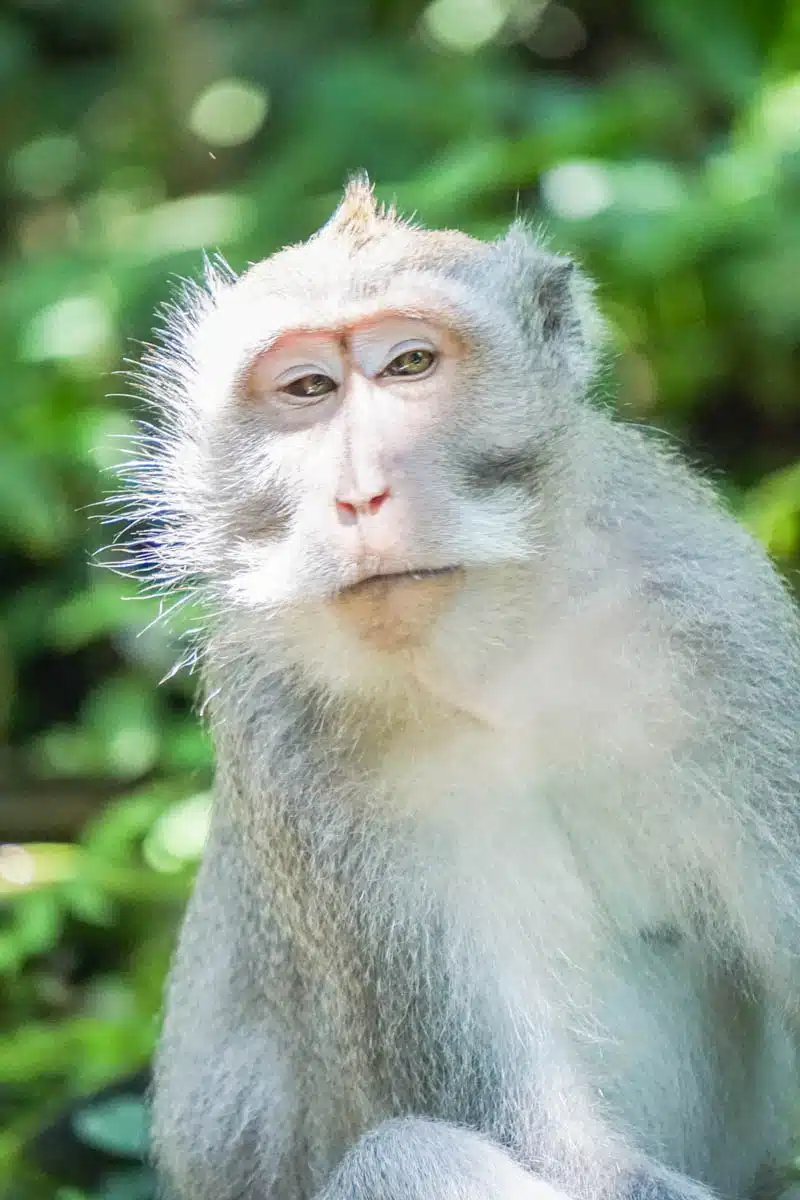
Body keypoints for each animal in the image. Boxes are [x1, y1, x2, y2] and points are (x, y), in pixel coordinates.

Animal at [112, 177, 800, 1200]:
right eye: (308, 389)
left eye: (410, 365)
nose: (359, 494)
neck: (494, 656)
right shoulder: (289, 743)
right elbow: (547, 1143)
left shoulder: (722, 630)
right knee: (410, 1156)